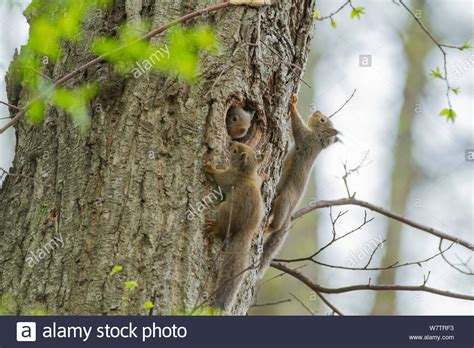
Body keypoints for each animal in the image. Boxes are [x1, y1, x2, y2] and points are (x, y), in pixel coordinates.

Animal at [204, 141, 264, 312]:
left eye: (235, 151)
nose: (231, 142)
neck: (247, 172)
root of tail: (246, 230)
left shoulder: (230, 178)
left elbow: (220, 178)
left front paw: (210, 168)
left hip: (224, 210)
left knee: (224, 230)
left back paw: (214, 228)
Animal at [258, 94, 338, 276]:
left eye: (322, 120)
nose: (316, 111)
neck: (318, 140)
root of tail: (290, 213)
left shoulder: (306, 138)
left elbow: (297, 126)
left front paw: (293, 104)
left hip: (284, 200)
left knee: (277, 223)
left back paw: (269, 228)